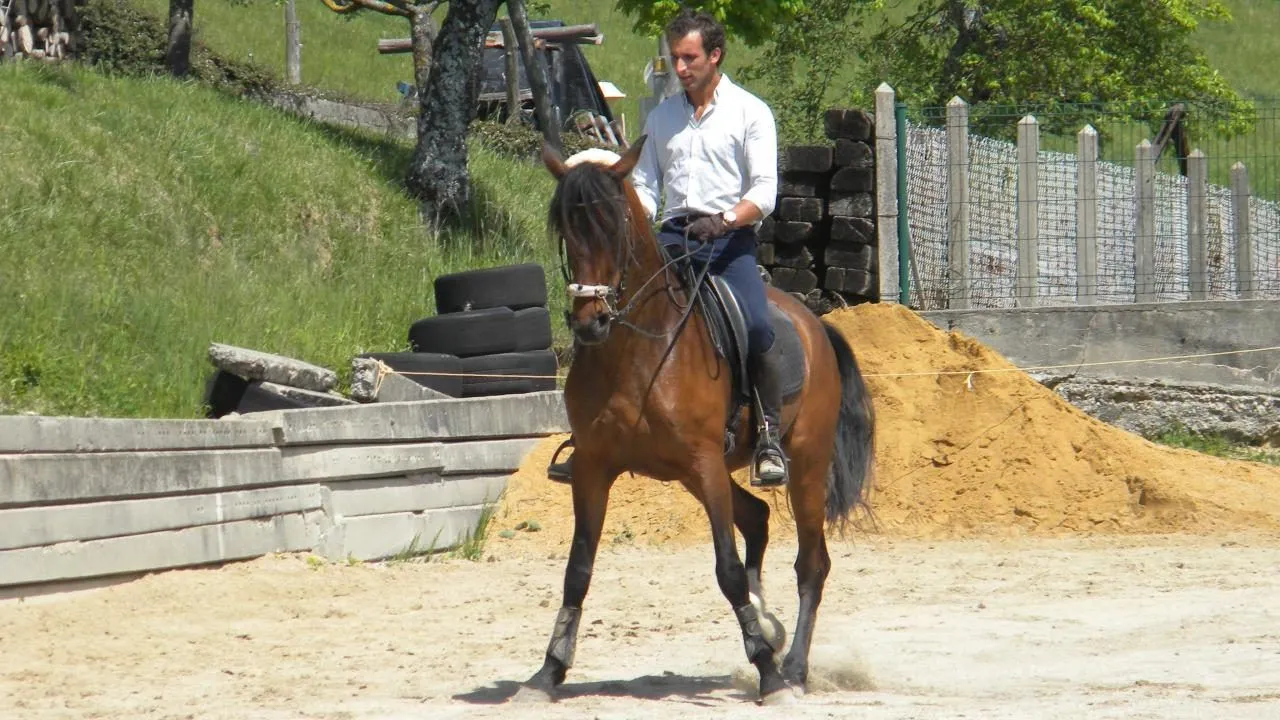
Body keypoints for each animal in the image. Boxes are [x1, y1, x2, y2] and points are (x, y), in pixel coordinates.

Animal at [514, 137, 875, 702]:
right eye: (565, 232)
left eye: (615, 226)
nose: (591, 322)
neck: (635, 352)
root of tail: (814, 323)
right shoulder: (594, 467)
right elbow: (578, 569)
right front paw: (548, 672)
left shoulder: (705, 464)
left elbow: (727, 570)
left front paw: (769, 673)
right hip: (693, 475)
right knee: (757, 517)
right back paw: (768, 626)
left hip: (803, 463)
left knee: (811, 563)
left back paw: (793, 667)